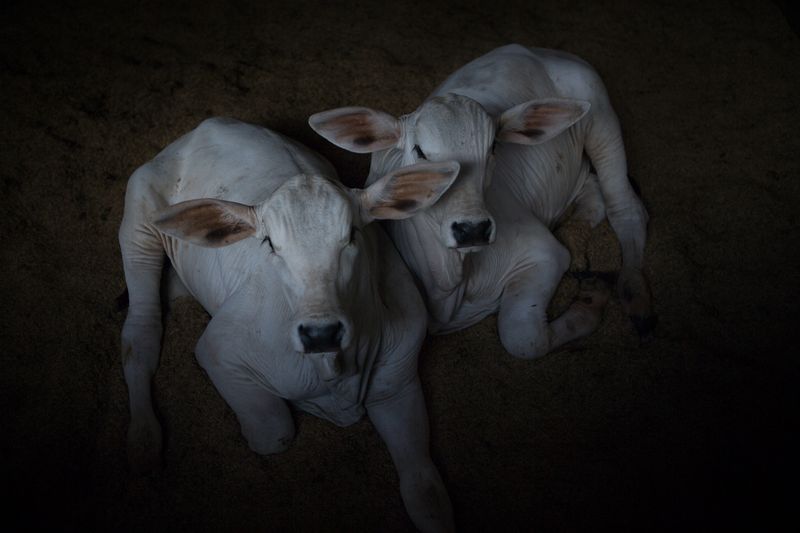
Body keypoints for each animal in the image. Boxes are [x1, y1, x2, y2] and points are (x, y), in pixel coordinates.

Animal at [118, 117, 460, 532]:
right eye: (269, 243)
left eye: (352, 235)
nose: (320, 333)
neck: (333, 371)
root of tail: (206, 125)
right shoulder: (219, 350)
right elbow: (274, 433)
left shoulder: (398, 377)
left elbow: (427, 496)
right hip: (139, 219)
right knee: (140, 335)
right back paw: (143, 441)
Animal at [309, 44, 654, 359]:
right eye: (420, 152)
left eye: (493, 148)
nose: (472, 229)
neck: (448, 283)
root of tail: (538, 49)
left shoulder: (544, 253)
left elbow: (522, 339)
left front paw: (589, 306)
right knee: (593, 191)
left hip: (601, 118)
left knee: (626, 208)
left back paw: (634, 295)